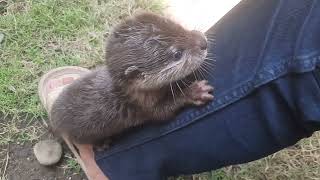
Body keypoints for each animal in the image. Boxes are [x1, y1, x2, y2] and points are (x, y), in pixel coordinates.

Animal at [50, 11, 214, 146]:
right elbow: (163, 113)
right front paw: (193, 92)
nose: (203, 42)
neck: (132, 93)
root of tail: (54, 119)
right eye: (177, 54)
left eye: (179, 27)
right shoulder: (143, 106)